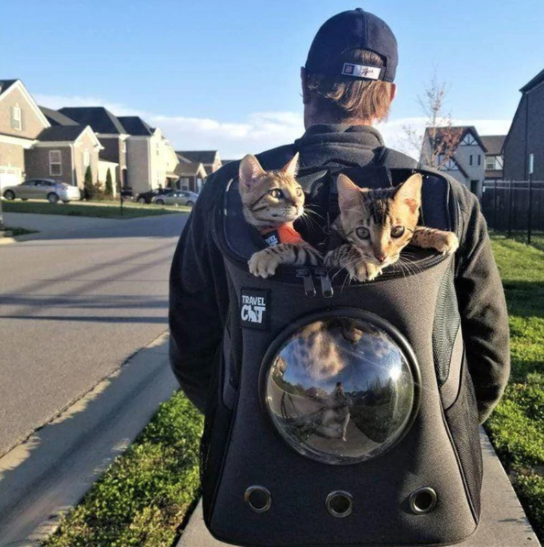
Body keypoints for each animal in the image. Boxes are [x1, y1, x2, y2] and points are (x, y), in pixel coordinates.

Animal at [326, 174, 462, 282]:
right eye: (362, 232)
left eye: (397, 231)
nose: (381, 257)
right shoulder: (326, 257)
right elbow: (345, 248)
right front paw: (363, 262)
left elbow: (415, 230)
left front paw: (440, 236)